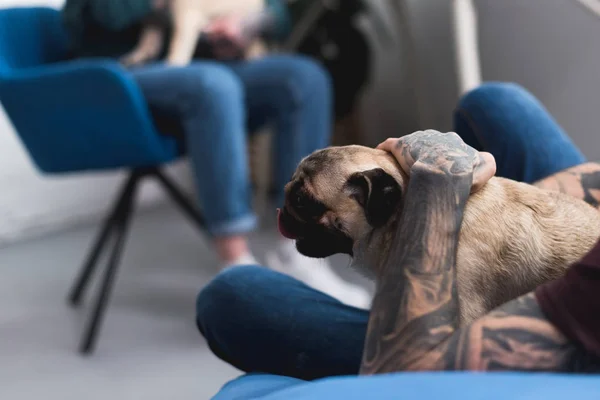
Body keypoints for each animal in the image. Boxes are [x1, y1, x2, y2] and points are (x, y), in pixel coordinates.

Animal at [119, 0, 264, 67]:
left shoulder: (186, 18)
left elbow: (177, 47)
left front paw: (171, 64)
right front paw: (135, 57)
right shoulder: (153, 19)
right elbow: (148, 43)